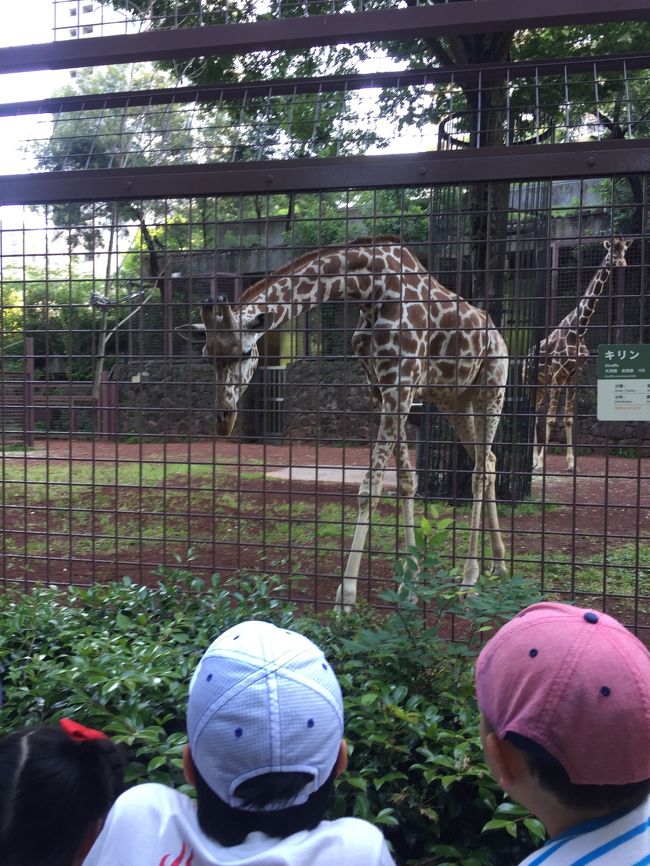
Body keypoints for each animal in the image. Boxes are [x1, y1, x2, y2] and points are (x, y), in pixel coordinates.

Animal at [176, 233, 506, 604]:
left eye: (246, 352)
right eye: (207, 356)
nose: (225, 420)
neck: (370, 290)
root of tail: (497, 333)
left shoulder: (401, 385)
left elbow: (370, 489)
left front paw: (346, 595)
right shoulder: (382, 389)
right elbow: (406, 481)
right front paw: (409, 584)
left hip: (493, 388)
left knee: (480, 470)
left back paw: (470, 579)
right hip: (456, 400)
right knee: (488, 460)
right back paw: (500, 564)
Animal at [524, 236, 632, 472]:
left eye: (624, 251)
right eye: (612, 252)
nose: (623, 264)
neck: (579, 329)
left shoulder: (574, 375)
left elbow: (569, 418)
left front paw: (572, 463)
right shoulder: (558, 374)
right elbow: (551, 418)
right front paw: (541, 463)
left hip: (544, 384)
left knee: (535, 414)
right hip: (533, 382)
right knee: (533, 414)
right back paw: (533, 460)